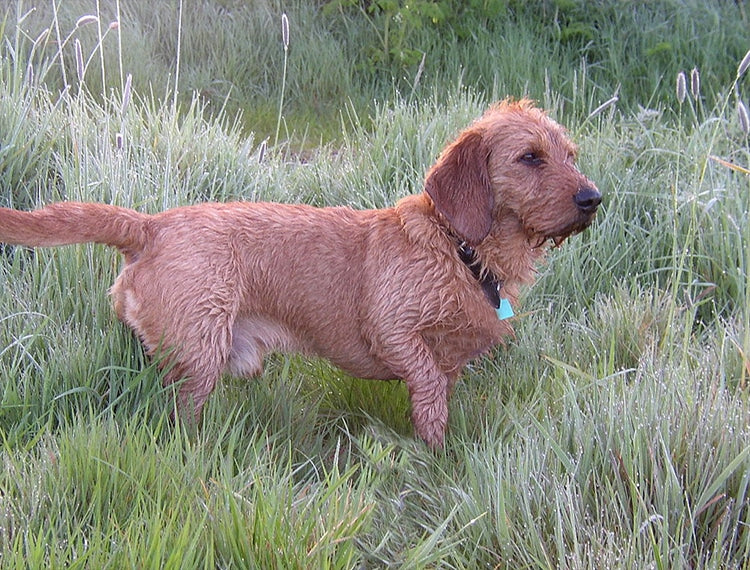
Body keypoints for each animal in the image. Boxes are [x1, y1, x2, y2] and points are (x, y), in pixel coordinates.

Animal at [0, 97, 604, 446]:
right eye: (529, 157)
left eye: (570, 154)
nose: (593, 198)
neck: (459, 249)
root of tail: (152, 226)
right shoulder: (393, 330)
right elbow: (429, 388)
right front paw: (434, 457)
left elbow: (440, 393)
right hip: (200, 355)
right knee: (180, 421)